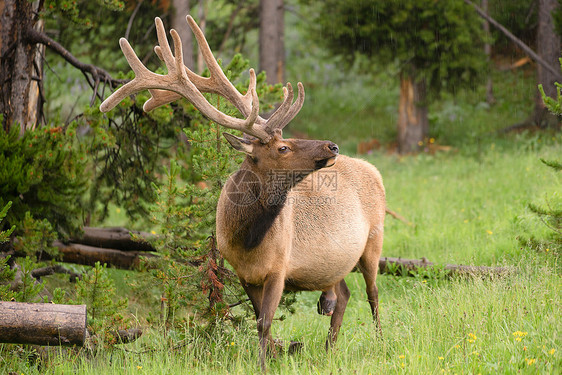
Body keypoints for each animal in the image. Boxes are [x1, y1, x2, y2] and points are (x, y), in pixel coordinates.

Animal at [98, 15, 382, 374]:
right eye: (283, 147)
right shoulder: (244, 273)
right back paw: (330, 350)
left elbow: (265, 321)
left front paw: (264, 363)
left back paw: (382, 341)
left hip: (374, 241)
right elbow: (260, 320)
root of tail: (374, 169)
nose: (331, 146)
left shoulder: (280, 267)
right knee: (343, 295)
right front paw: (269, 358)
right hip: (337, 264)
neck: (247, 239)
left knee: (373, 294)